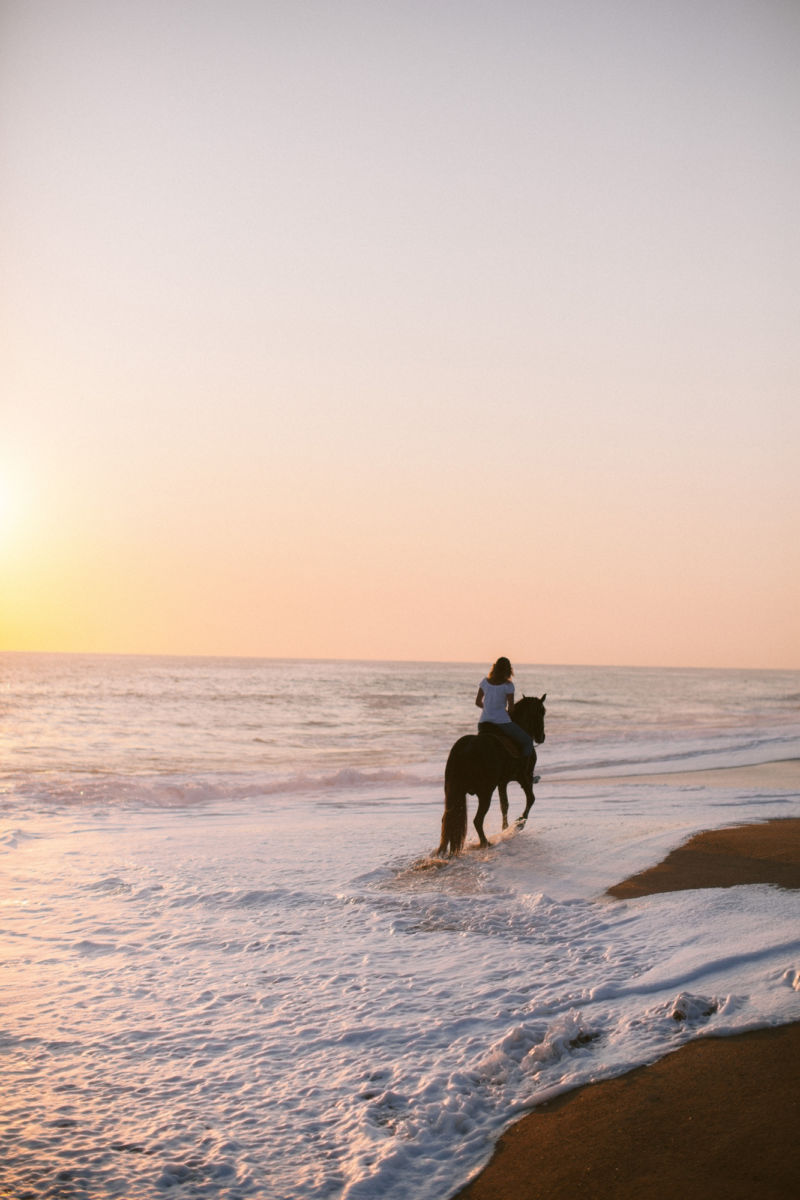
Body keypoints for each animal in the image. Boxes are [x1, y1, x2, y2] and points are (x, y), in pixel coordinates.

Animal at [437, 694, 547, 856]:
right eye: (542, 712)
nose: (541, 737)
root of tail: (466, 747)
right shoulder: (524, 777)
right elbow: (531, 799)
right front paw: (519, 824)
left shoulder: (502, 782)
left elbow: (504, 805)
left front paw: (506, 828)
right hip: (485, 793)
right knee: (477, 820)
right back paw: (485, 843)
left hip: (455, 793)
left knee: (447, 819)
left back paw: (442, 850)